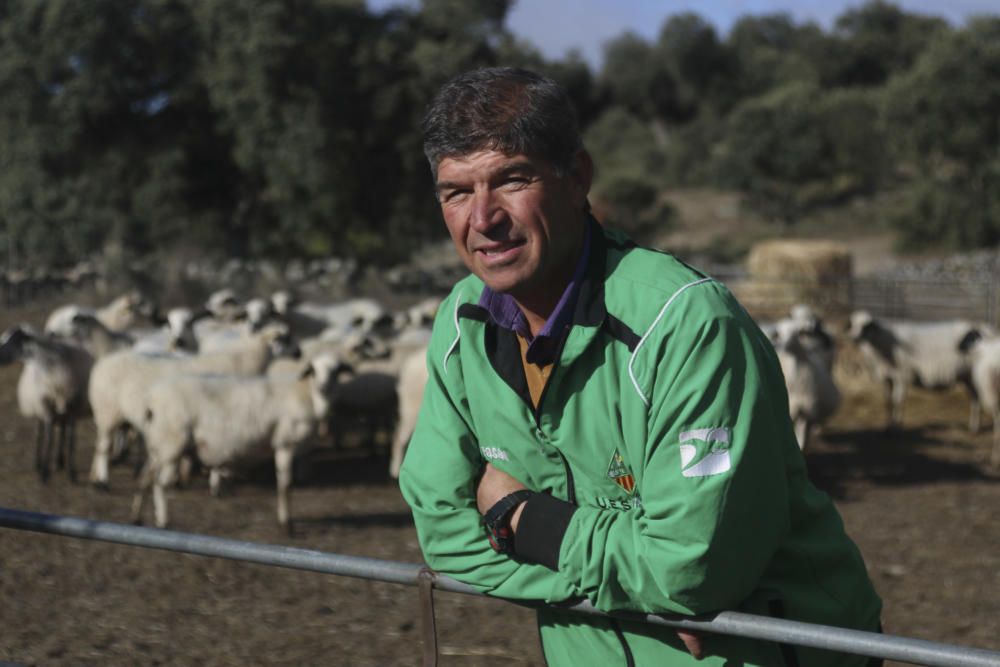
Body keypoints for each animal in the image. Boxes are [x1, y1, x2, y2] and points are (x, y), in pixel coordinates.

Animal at [135, 352, 356, 528]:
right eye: (313, 370)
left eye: (337, 371)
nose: (324, 387)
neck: (305, 394)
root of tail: (151, 402)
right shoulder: (284, 443)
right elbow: (285, 485)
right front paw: (286, 524)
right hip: (171, 446)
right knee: (159, 484)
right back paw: (163, 521)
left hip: (157, 445)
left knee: (144, 477)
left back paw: (136, 518)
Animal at [848, 310, 988, 430]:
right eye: (852, 325)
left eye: (866, 326)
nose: (855, 338)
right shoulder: (888, 377)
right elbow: (888, 402)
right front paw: (888, 426)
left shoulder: (902, 375)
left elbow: (897, 401)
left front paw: (896, 427)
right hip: (968, 377)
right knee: (975, 398)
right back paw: (973, 427)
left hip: (972, 375)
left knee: (976, 398)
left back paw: (974, 427)